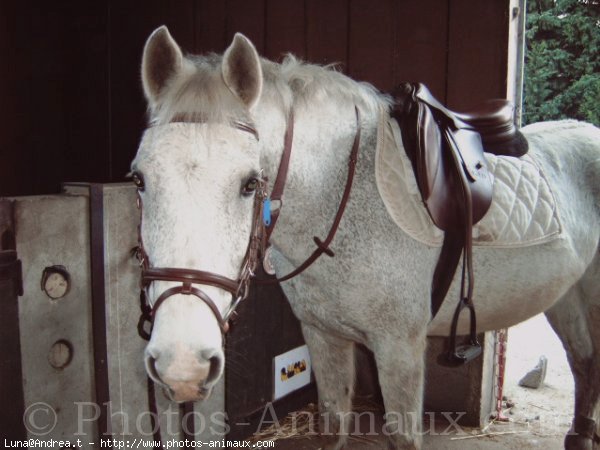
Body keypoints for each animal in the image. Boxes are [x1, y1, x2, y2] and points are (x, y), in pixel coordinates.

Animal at [134, 25, 600, 450]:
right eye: (139, 179)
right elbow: (333, 424)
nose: (183, 364)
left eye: (250, 183)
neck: (337, 201)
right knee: (584, 361)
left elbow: (403, 437)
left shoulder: (399, 349)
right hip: (566, 297)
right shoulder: (324, 336)